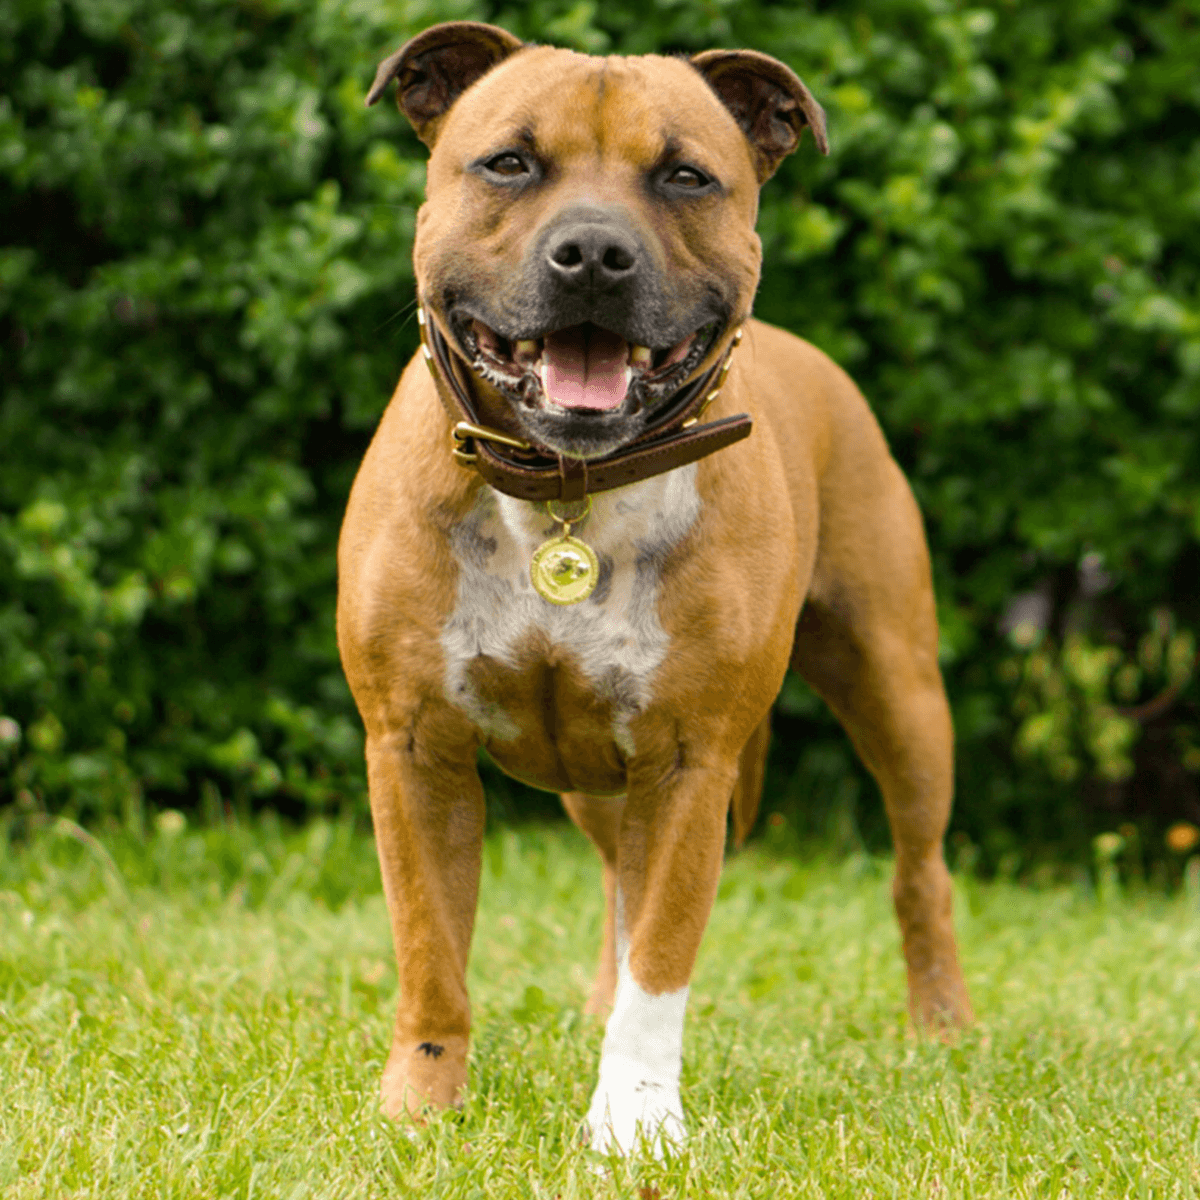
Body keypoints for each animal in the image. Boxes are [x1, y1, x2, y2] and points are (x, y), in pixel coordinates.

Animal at [333, 23, 969, 1156]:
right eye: (509, 162)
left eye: (685, 176)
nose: (593, 253)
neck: (566, 490)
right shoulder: (413, 751)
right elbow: (432, 954)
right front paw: (421, 1106)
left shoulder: (687, 762)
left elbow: (662, 960)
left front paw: (632, 1123)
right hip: (594, 781)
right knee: (613, 882)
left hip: (898, 695)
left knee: (918, 868)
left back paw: (942, 1025)